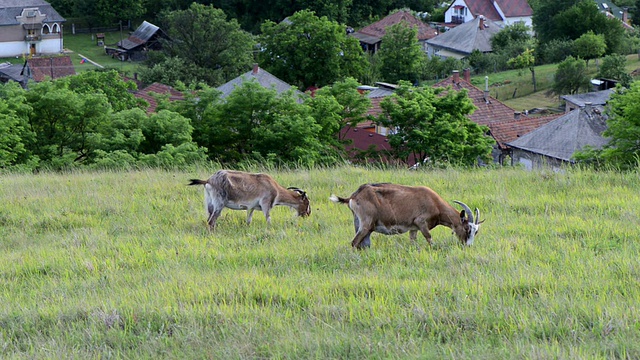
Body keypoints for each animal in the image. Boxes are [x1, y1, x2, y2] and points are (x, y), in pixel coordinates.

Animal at [330, 183, 480, 248]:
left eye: (476, 232)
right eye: (467, 229)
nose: (468, 246)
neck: (434, 202)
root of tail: (354, 196)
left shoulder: (413, 228)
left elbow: (413, 241)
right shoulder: (421, 222)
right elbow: (429, 238)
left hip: (361, 224)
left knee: (363, 244)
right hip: (366, 224)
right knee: (355, 242)